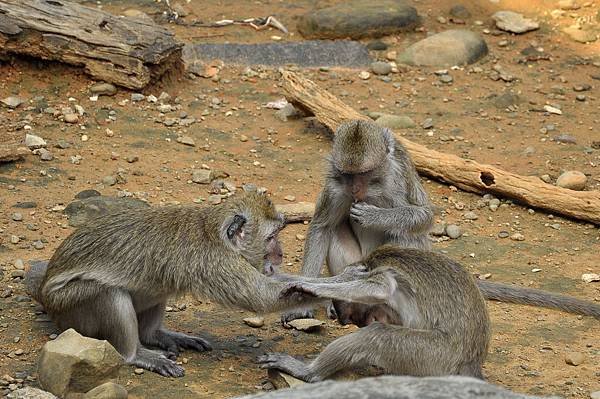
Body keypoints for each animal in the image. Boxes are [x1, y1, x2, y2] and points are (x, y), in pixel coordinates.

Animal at [24, 195, 366, 380]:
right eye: (271, 237)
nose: (280, 254)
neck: (211, 231)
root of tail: (45, 296)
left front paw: (347, 279)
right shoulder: (215, 262)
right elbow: (262, 297)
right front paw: (334, 291)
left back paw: (156, 335)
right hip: (69, 308)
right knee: (108, 294)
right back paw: (137, 353)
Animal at [262, 247, 492, 382]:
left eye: (349, 314)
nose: (351, 322)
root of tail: (471, 360)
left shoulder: (377, 272)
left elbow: (381, 287)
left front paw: (310, 287)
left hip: (437, 354)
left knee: (378, 335)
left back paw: (309, 373)